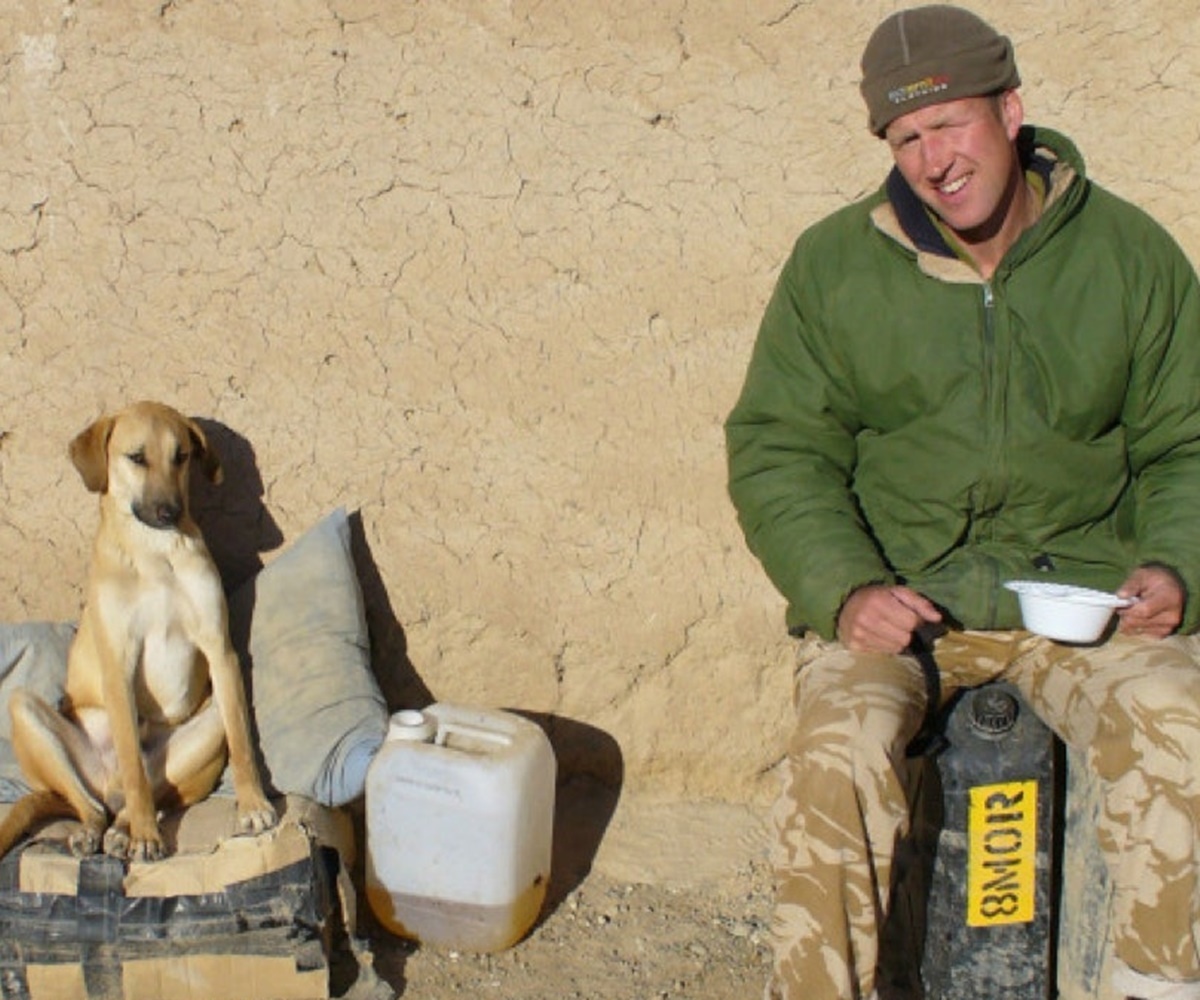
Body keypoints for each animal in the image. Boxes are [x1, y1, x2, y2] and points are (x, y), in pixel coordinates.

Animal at [0, 398, 276, 859]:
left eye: (181, 456)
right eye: (136, 457)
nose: (171, 512)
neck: (156, 553)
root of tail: (106, 787)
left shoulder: (220, 650)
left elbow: (242, 743)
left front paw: (252, 803)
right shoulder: (119, 664)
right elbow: (132, 763)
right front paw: (147, 834)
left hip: (207, 725)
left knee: (143, 794)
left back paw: (120, 830)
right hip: (25, 711)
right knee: (96, 802)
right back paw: (99, 830)